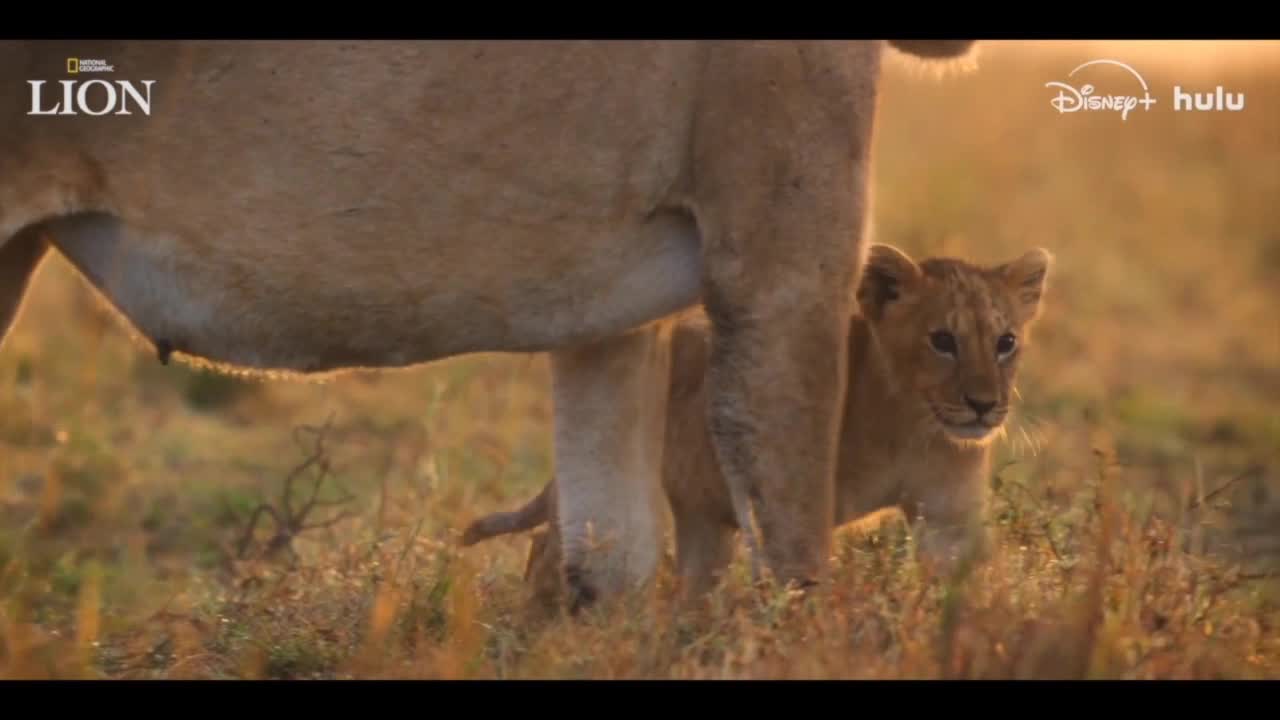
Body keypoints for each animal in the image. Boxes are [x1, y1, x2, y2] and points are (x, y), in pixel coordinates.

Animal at [461, 243, 1053, 605]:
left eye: (1006, 342)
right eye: (942, 341)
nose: (983, 405)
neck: (908, 423)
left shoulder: (950, 512)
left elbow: (962, 579)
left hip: (702, 516)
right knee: (557, 545)